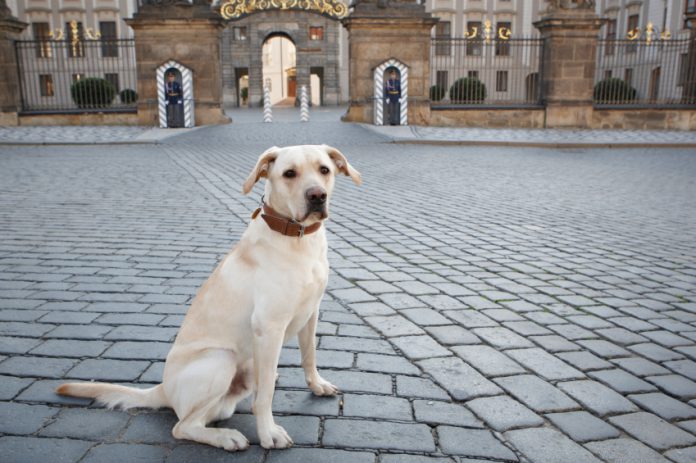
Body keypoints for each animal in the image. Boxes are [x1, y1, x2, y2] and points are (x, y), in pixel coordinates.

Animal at [57, 144, 362, 450]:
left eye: (324, 170)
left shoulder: (311, 312)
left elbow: (309, 355)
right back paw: (225, 437)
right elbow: (265, 397)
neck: (297, 238)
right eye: (289, 173)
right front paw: (268, 433)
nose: (317, 195)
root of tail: (164, 389)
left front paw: (317, 384)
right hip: (221, 358)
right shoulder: (269, 327)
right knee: (183, 426)